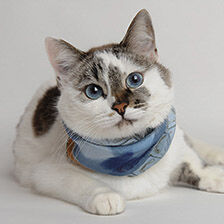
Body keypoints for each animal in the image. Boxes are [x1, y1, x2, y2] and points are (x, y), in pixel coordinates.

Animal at [12, 9, 224, 215]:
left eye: (135, 79)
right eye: (93, 91)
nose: (120, 106)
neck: (130, 155)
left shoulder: (174, 143)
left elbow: (194, 163)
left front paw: (214, 174)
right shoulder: (46, 172)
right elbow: (79, 181)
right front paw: (105, 197)